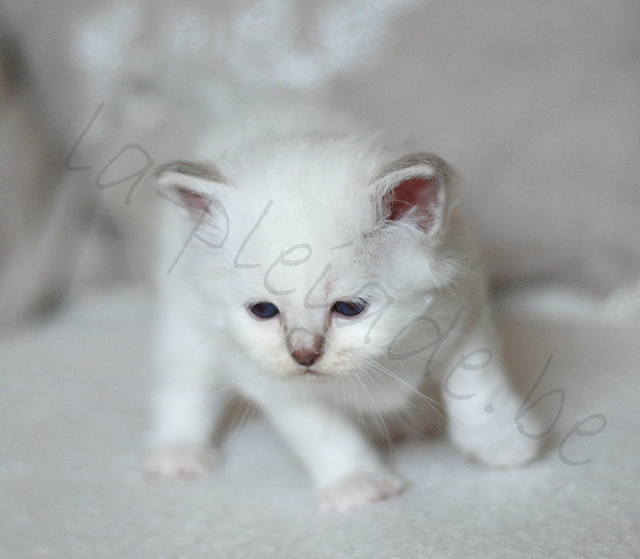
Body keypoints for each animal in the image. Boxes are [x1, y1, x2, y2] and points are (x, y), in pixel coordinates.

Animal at [146, 107, 540, 516]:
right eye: (264, 310)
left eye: (349, 308)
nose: (304, 355)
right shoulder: (269, 379)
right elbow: (323, 434)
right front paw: (357, 485)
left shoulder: (464, 305)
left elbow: (476, 385)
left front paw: (502, 445)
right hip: (185, 322)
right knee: (184, 382)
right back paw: (178, 454)